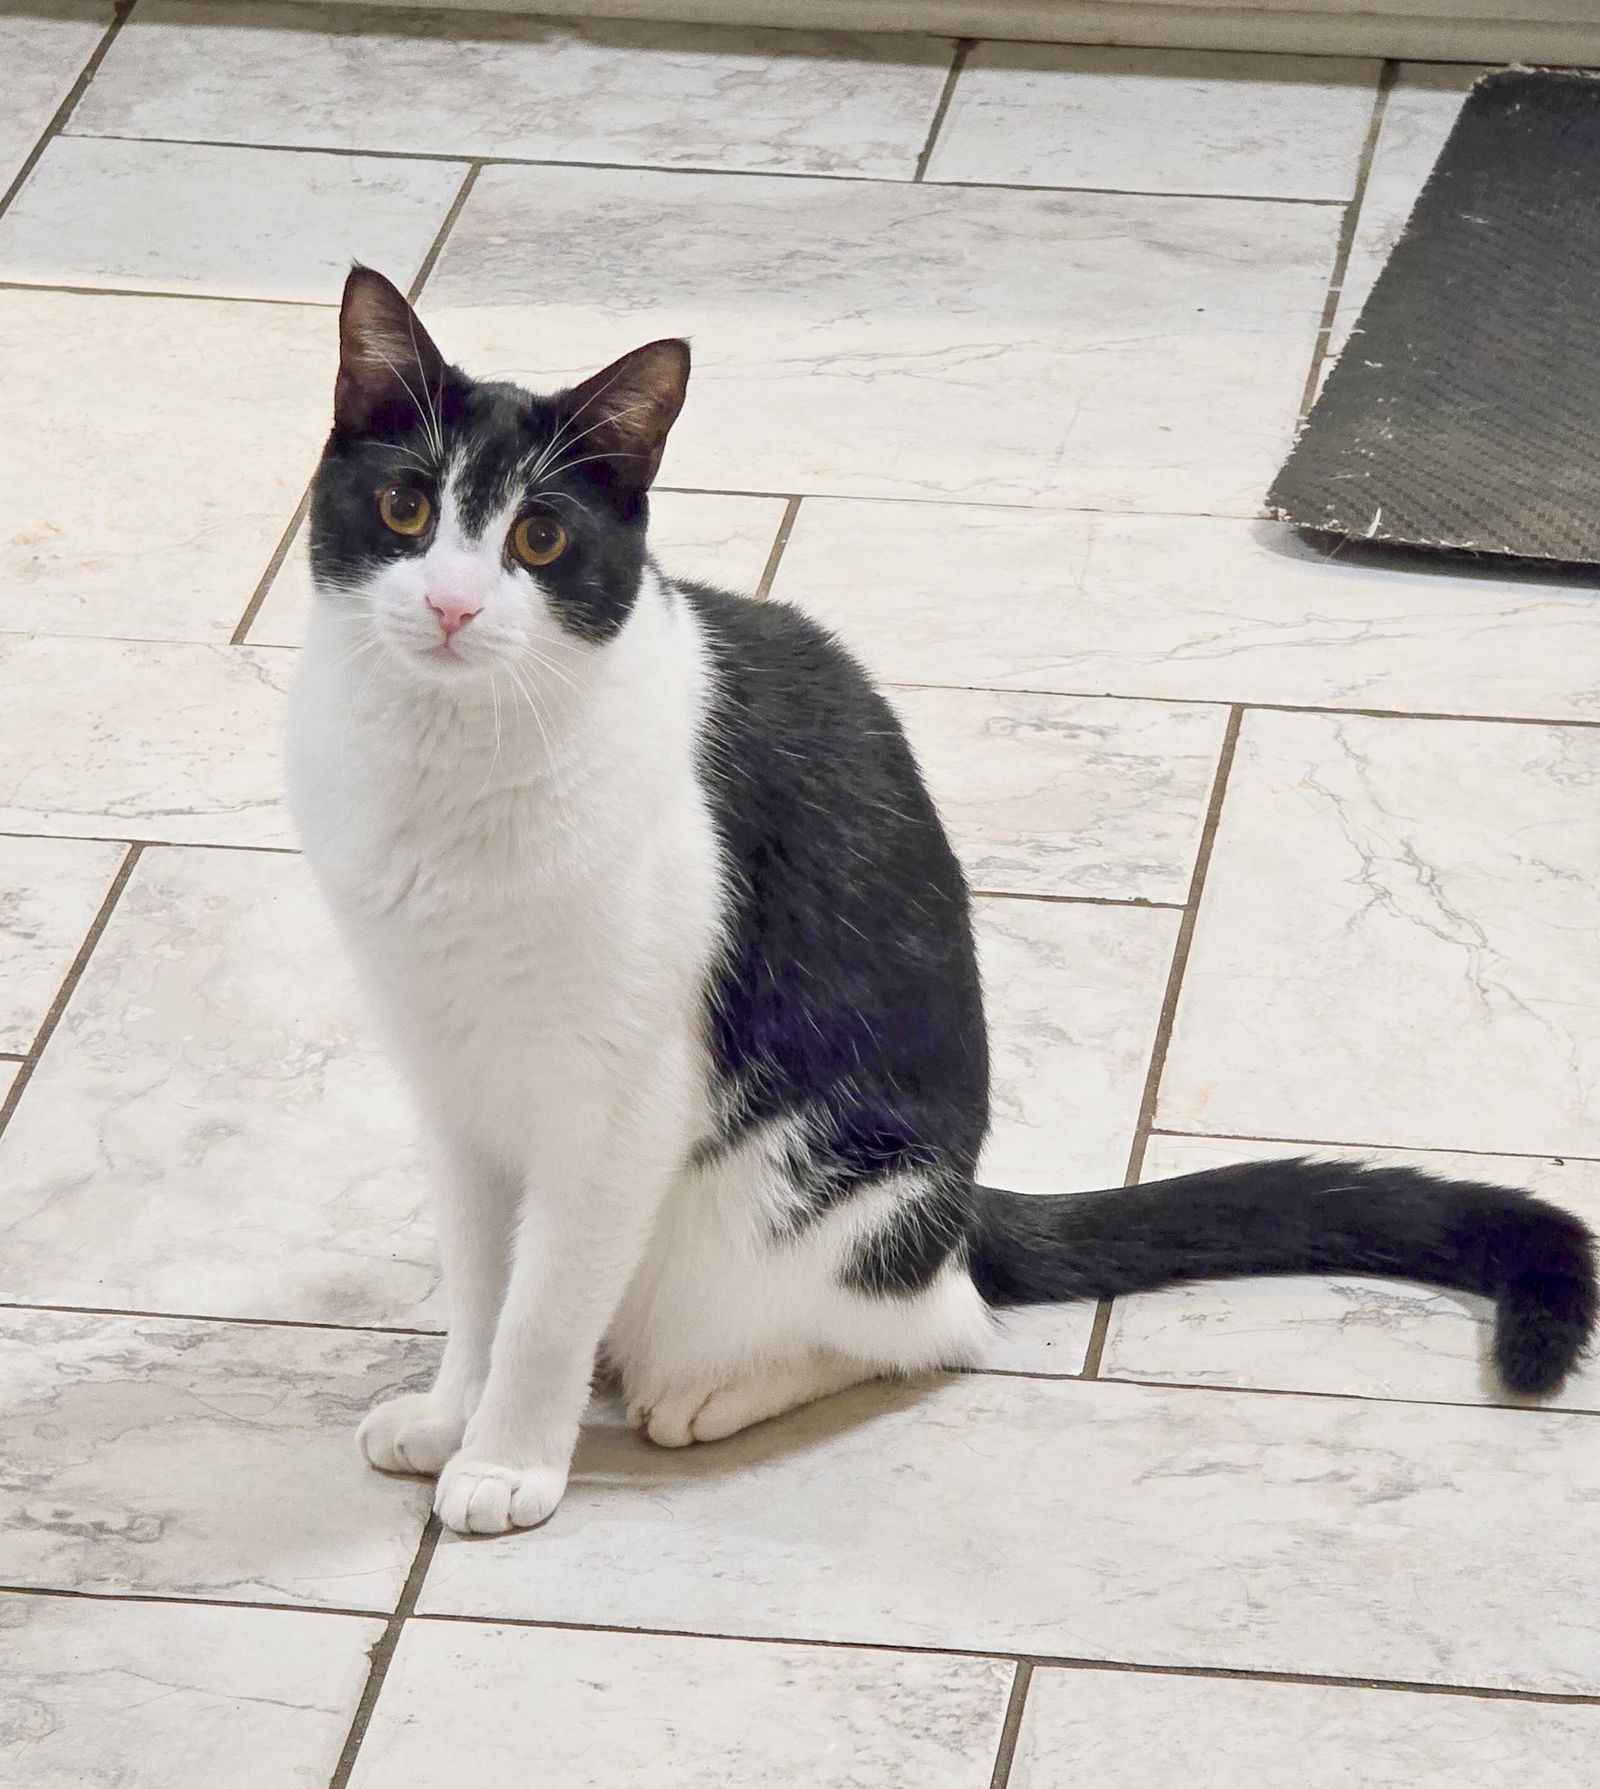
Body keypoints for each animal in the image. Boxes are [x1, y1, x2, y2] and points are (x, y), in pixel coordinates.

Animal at [291, 268, 1600, 1538]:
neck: (452, 769)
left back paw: (715, 1392)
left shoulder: (618, 1099)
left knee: (930, 1329)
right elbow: (483, 1285)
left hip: (798, 1197)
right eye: (407, 511)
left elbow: (546, 1304)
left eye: (540, 535)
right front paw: (449, 1418)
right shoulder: (453, 1083)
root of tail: (964, 1203)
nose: (453, 606)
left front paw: (505, 1460)